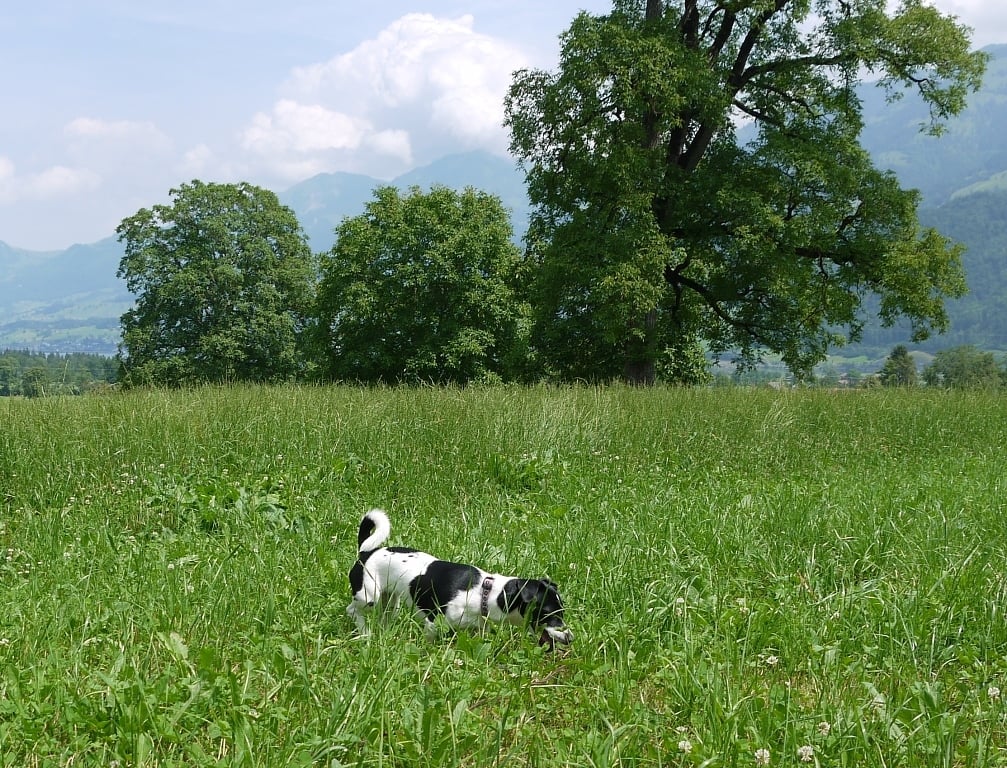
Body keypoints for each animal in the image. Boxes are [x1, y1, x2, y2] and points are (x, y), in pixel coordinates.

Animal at [346, 508, 573, 648]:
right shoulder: (433, 623)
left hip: (390, 601)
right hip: (368, 597)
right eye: (549, 614)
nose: (570, 636)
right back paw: (365, 632)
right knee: (352, 610)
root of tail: (366, 553)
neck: (484, 593)